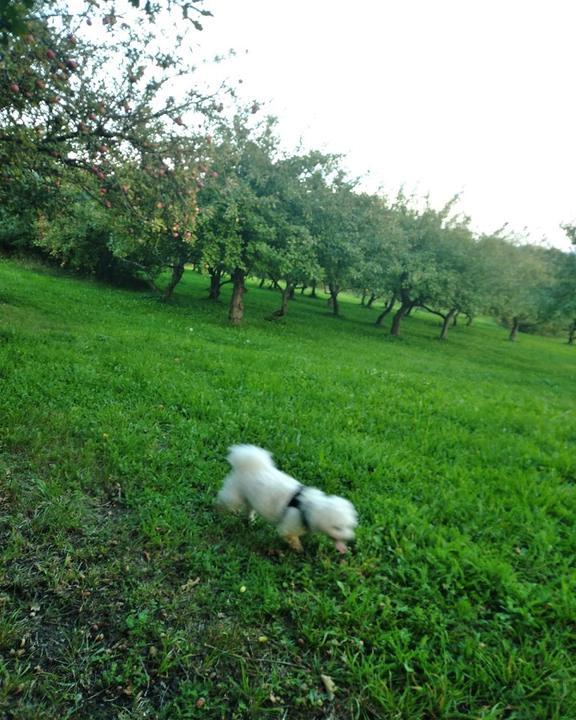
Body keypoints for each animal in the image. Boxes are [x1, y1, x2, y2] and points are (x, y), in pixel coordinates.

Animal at [217, 442, 358, 556]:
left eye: (350, 526)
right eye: (337, 528)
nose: (351, 538)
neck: (306, 507)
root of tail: (245, 462)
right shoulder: (288, 528)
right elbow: (293, 538)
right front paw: (299, 549)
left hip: (249, 497)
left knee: (249, 508)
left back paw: (250, 520)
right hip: (234, 496)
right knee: (223, 502)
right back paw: (220, 514)